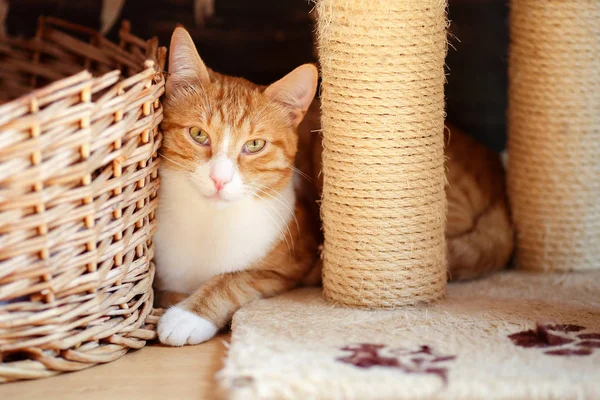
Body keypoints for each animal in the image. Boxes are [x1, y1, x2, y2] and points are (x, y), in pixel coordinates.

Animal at [156, 26, 516, 346]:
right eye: (198, 135)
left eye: (255, 145)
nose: (219, 178)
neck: (208, 224)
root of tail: (497, 174)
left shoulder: (288, 266)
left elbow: (233, 280)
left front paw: (189, 314)